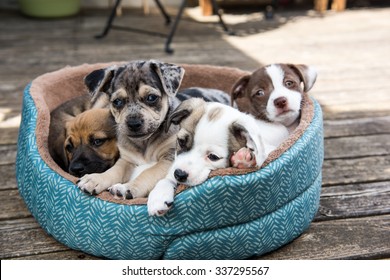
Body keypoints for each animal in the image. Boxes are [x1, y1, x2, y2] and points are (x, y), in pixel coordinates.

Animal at [148, 98, 288, 217]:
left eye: (213, 157)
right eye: (181, 142)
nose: (179, 174)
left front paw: (244, 159)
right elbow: (166, 179)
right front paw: (158, 195)